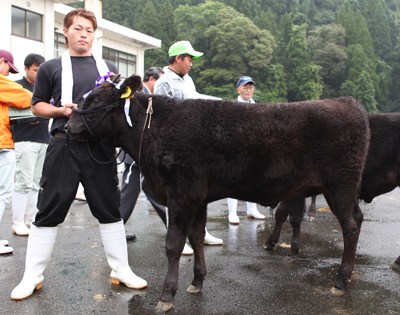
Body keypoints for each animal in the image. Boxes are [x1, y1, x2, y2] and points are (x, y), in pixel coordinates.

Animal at [65, 74, 368, 314]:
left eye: (95, 101)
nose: (67, 126)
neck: (155, 129)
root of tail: (348, 102)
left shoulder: (182, 193)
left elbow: (173, 245)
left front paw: (167, 295)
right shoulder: (197, 197)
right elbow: (197, 238)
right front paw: (197, 282)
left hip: (340, 184)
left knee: (351, 225)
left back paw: (340, 281)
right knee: (356, 219)